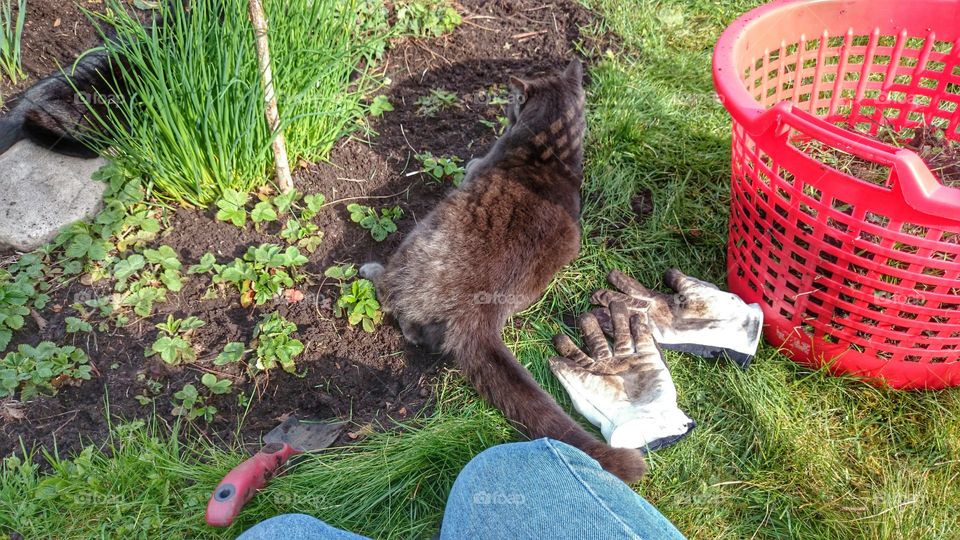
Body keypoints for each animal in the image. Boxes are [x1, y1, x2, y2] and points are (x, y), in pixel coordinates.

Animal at [360, 60, 644, 486]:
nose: (506, 112)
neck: (549, 156)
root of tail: (478, 313)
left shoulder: (478, 165)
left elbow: (471, 164)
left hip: (416, 240)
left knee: (397, 305)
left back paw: (370, 270)